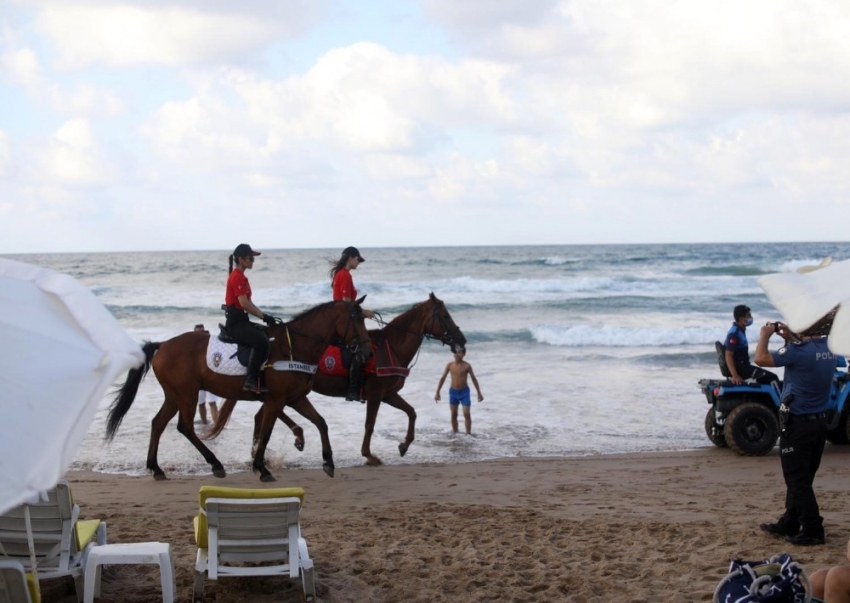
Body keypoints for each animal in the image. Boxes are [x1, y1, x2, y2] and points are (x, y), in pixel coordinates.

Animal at [106, 298, 372, 482]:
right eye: (357, 320)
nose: (367, 353)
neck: (296, 345)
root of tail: (162, 345)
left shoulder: (295, 398)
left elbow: (321, 422)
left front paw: (328, 462)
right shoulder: (276, 400)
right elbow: (265, 432)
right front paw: (262, 468)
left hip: (174, 396)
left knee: (158, 424)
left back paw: (156, 468)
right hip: (187, 395)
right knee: (185, 427)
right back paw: (215, 464)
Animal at [211, 292, 464, 468]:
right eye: (445, 315)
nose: (461, 340)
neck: (389, 347)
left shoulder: (389, 394)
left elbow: (412, 412)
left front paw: (404, 445)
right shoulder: (376, 395)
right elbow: (370, 424)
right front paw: (368, 455)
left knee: (262, 416)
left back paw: (265, 451)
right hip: (286, 392)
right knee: (268, 414)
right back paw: (288, 440)